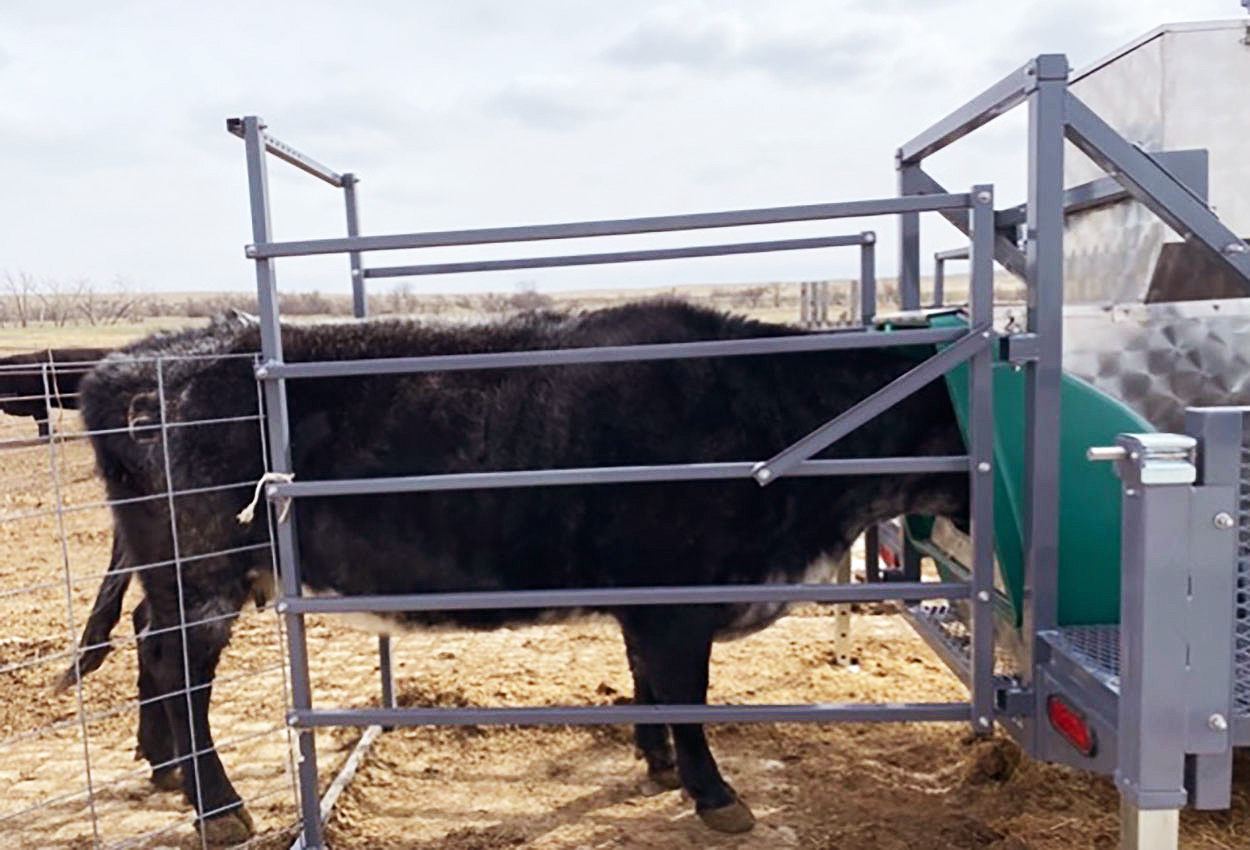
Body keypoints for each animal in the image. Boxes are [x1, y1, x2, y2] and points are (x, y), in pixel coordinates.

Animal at [78, 300, 970, 845]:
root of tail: (130, 364)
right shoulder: (679, 598)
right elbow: (685, 695)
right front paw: (716, 795)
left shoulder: (646, 601)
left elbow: (647, 681)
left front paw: (655, 765)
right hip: (203, 572)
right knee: (178, 665)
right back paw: (218, 806)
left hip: (175, 571)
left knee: (148, 641)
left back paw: (165, 770)